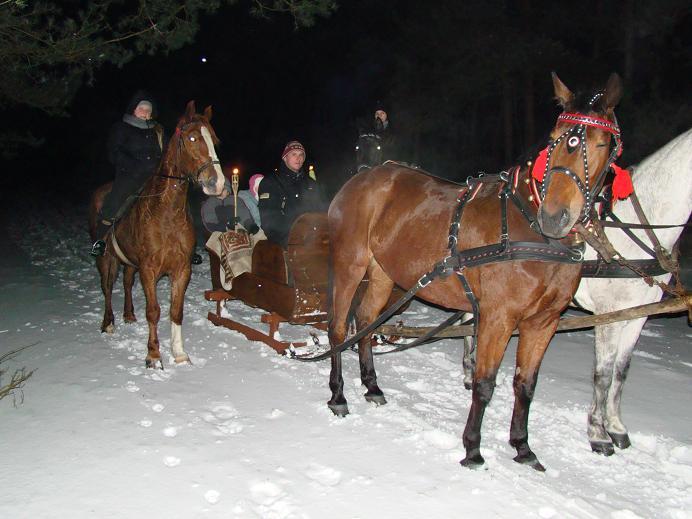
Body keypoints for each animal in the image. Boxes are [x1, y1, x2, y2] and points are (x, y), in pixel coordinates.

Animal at [88, 101, 224, 370]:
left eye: (214, 140)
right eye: (192, 138)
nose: (218, 183)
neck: (166, 214)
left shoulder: (181, 269)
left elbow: (175, 311)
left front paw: (179, 353)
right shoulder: (149, 270)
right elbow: (154, 311)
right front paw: (153, 355)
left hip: (130, 263)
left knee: (126, 283)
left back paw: (129, 314)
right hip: (106, 259)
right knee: (107, 288)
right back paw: (108, 323)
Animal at [328, 74, 624, 472]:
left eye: (602, 142)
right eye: (555, 138)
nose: (554, 216)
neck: (530, 226)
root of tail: (363, 178)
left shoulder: (544, 321)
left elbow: (525, 384)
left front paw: (522, 447)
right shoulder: (498, 317)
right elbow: (485, 383)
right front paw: (472, 448)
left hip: (382, 274)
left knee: (365, 321)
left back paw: (372, 386)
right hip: (350, 263)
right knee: (339, 326)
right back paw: (338, 395)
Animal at [572, 129, 692, 456]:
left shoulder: (637, 315)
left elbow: (620, 371)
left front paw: (616, 428)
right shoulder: (609, 315)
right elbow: (602, 374)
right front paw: (598, 434)